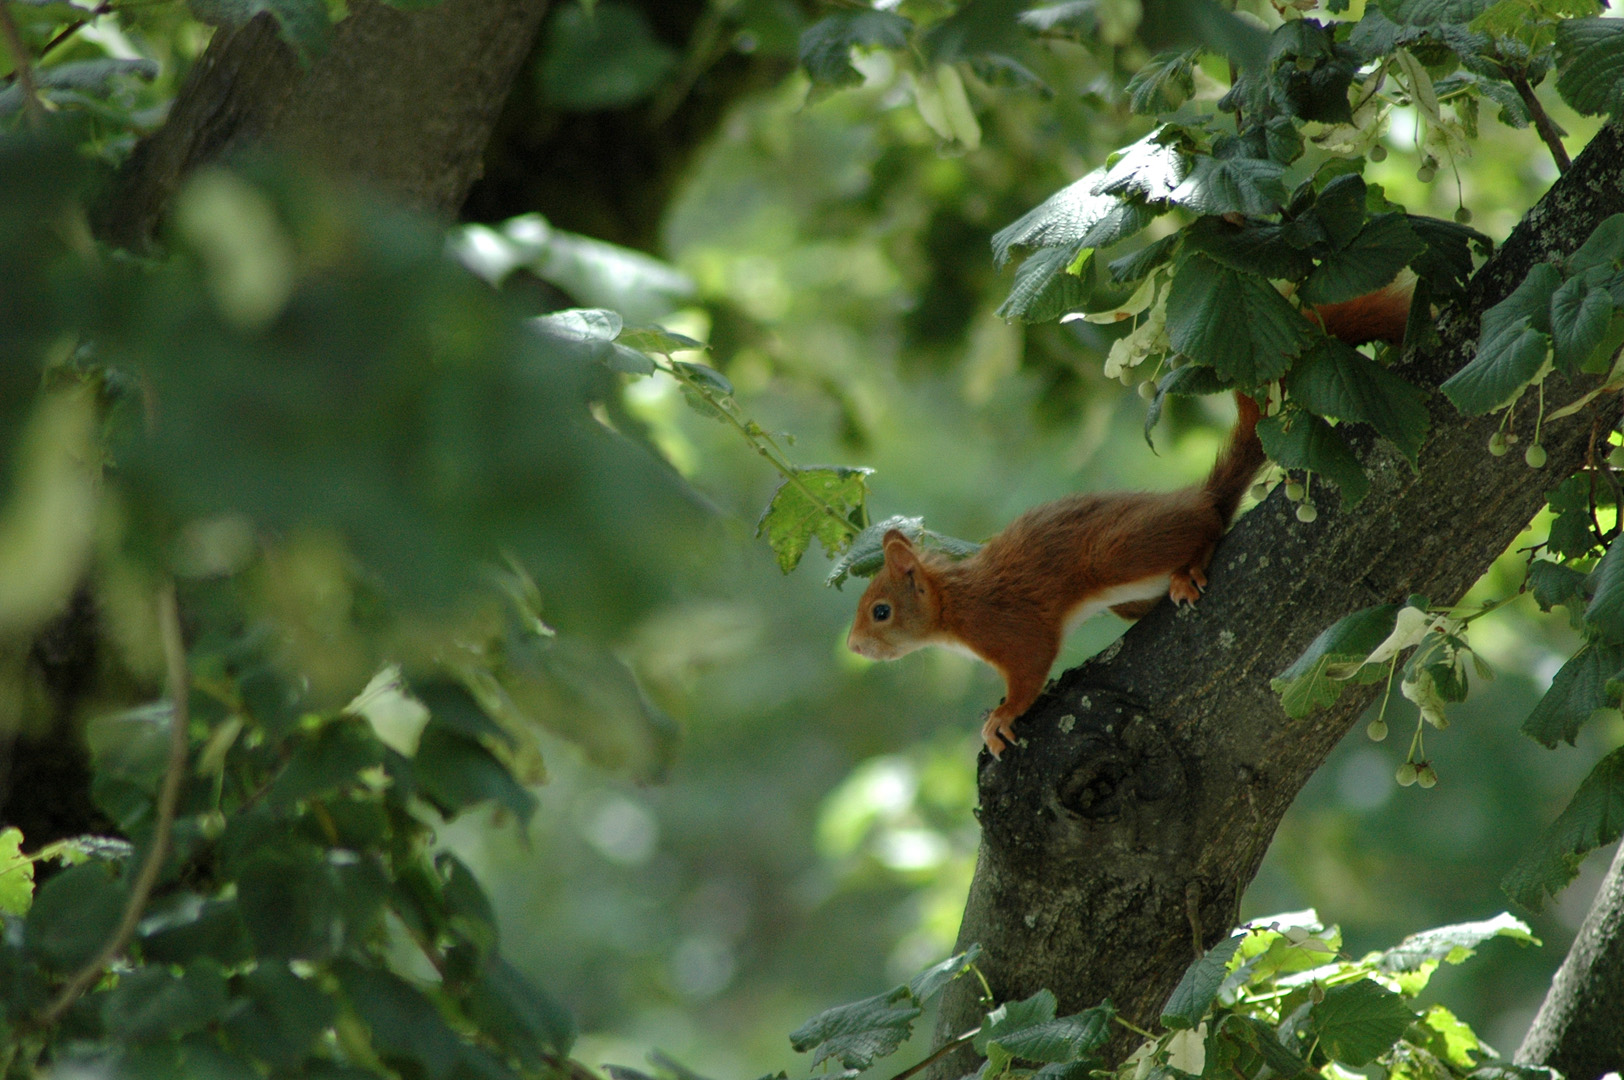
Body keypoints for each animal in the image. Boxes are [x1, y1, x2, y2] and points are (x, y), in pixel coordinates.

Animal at [844, 282, 1416, 753]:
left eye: (881, 611)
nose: (853, 646)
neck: (955, 605)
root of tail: (1194, 497)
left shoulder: (1009, 625)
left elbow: (1030, 668)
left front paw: (1001, 716)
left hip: (1115, 551)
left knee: (1208, 526)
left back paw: (1190, 567)